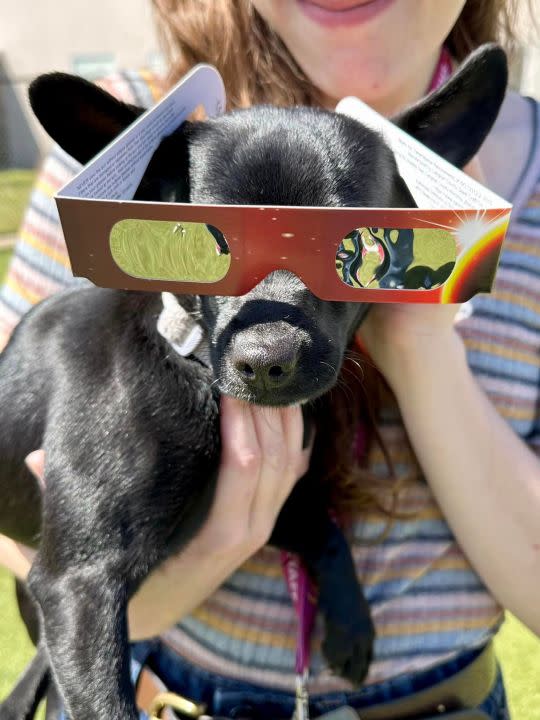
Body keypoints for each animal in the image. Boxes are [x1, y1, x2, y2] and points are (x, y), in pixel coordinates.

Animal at [0, 45, 506, 720]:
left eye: (355, 250)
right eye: (199, 245)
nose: (267, 359)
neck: (189, 359)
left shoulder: (263, 511)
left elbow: (322, 524)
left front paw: (350, 624)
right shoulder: (78, 583)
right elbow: (106, 704)